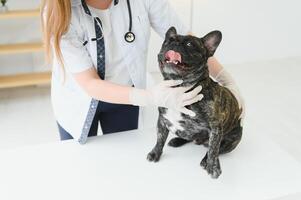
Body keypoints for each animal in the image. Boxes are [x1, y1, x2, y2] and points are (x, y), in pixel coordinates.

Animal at [146, 26, 243, 178]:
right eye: (167, 41)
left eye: (189, 44)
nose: (173, 43)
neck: (179, 88)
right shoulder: (162, 119)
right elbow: (160, 138)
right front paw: (155, 153)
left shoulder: (215, 128)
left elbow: (214, 149)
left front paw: (212, 166)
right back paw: (177, 140)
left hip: (234, 138)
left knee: (217, 149)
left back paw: (205, 160)